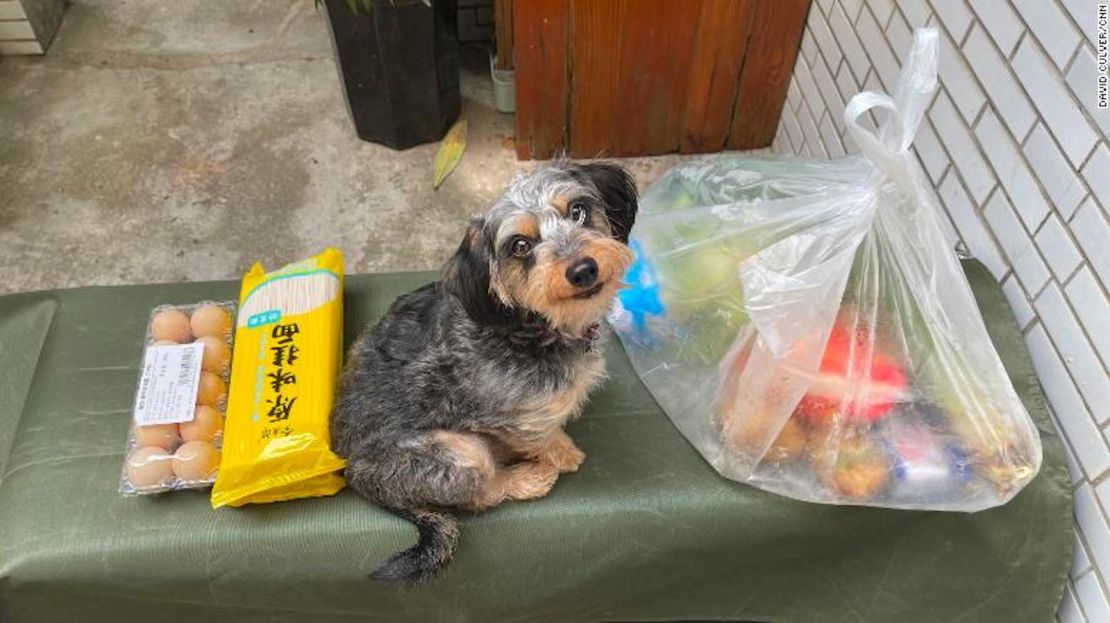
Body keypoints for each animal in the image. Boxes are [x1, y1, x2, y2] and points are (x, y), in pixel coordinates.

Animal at [328, 159, 639, 581]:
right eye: (520, 245)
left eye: (577, 210)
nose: (583, 270)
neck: (530, 325)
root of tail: (355, 478)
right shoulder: (520, 420)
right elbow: (547, 439)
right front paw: (565, 455)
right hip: (459, 453)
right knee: (477, 496)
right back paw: (528, 479)